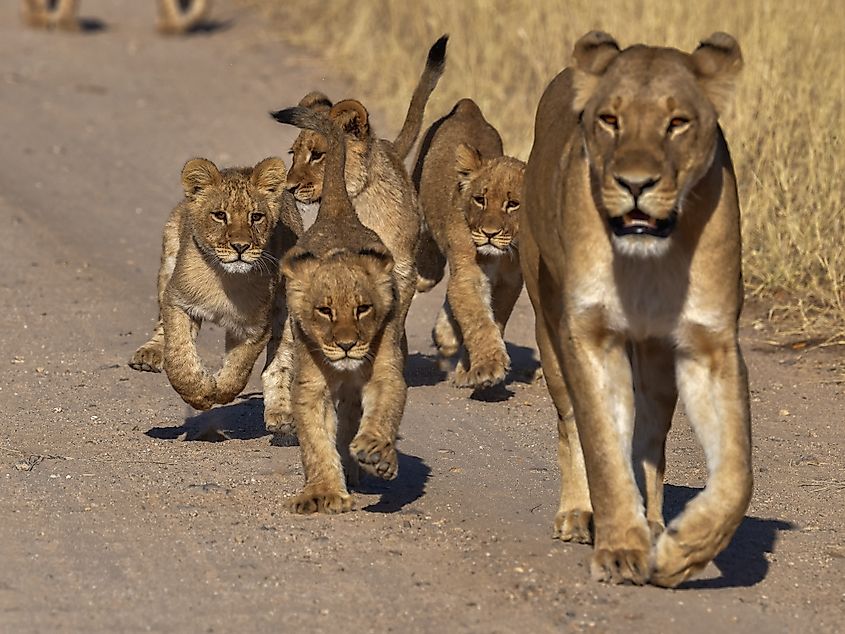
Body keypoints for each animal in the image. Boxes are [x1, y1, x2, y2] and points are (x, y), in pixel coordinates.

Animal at [128, 156, 302, 415]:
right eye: (220, 215)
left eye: (256, 217)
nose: (240, 246)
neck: (226, 280)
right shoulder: (178, 301)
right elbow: (178, 354)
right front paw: (199, 394)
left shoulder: (256, 326)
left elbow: (239, 368)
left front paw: (220, 389)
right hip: (168, 261)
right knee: (162, 326)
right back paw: (149, 355)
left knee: (280, 361)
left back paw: (280, 414)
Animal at [270, 104, 406, 514]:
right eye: (324, 311)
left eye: (363, 309)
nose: (346, 345)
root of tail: (337, 211)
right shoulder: (310, 386)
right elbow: (315, 442)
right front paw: (322, 493)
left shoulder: (385, 369)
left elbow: (383, 410)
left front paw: (375, 451)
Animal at [412, 99, 525, 388]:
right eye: (479, 200)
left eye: (513, 204)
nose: (489, 233)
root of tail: (468, 107)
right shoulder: (469, 273)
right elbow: (478, 320)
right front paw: (488, 367)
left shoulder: (510, 282)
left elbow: (495, 321)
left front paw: (468, 369)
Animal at [521, 31, 752, 588]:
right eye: (610, 120)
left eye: (677, 122)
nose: (635, 184)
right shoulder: (589, 334)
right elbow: (603, 446)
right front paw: (621, 548)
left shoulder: (712, 343)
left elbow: (738, 473)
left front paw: (683, 551)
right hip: (548, 327)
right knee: (572, 422)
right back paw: (581, 514)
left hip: (655, 362)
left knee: (649, 444)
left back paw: (653, 524)